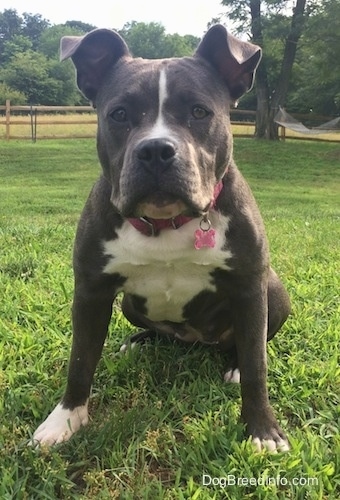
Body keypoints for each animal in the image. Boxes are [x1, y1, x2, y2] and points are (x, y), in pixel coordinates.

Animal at [31, 25, 290, 452]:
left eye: (199, 112)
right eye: (119, 114)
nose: (155, 149)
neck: (166, 222)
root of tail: (197, 339)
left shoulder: (250, 287)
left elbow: (257, 365)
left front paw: (262, 430)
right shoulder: (91, 291)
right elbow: (80, 360)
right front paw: (65, 419)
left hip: (274, 291)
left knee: (250, 345)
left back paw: (232, 363)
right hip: (128, 306)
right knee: (157, 332)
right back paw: (138, 342)